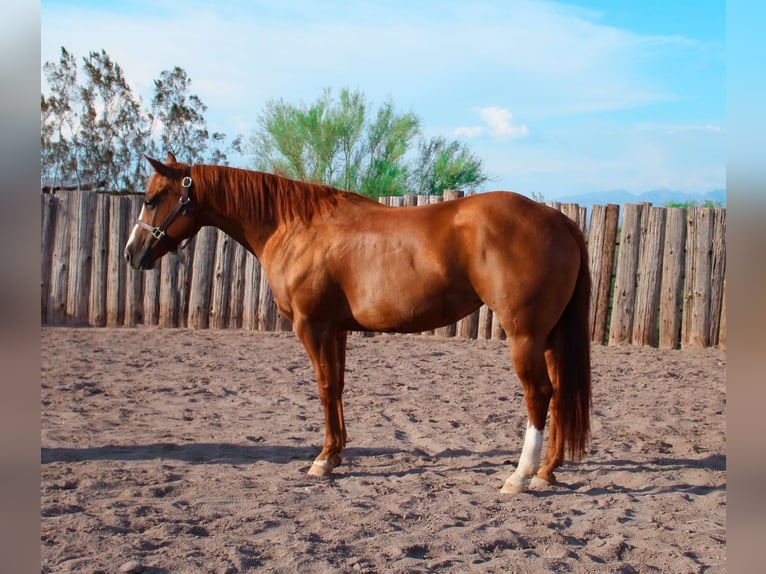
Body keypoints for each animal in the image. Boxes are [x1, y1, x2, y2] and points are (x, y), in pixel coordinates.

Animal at [125, 153, 592, 493]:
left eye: (151, 199)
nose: (132, 253)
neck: (296, 227)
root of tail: (558, 218)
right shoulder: (337, 329)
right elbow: (338, 387)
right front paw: (334, 454)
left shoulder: (312, 326)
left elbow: (323, 387)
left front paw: (322, 460)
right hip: (548, 336)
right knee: (560, 393)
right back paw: (547, 472)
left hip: (524, 335)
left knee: (539, 395)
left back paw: (520, 476)